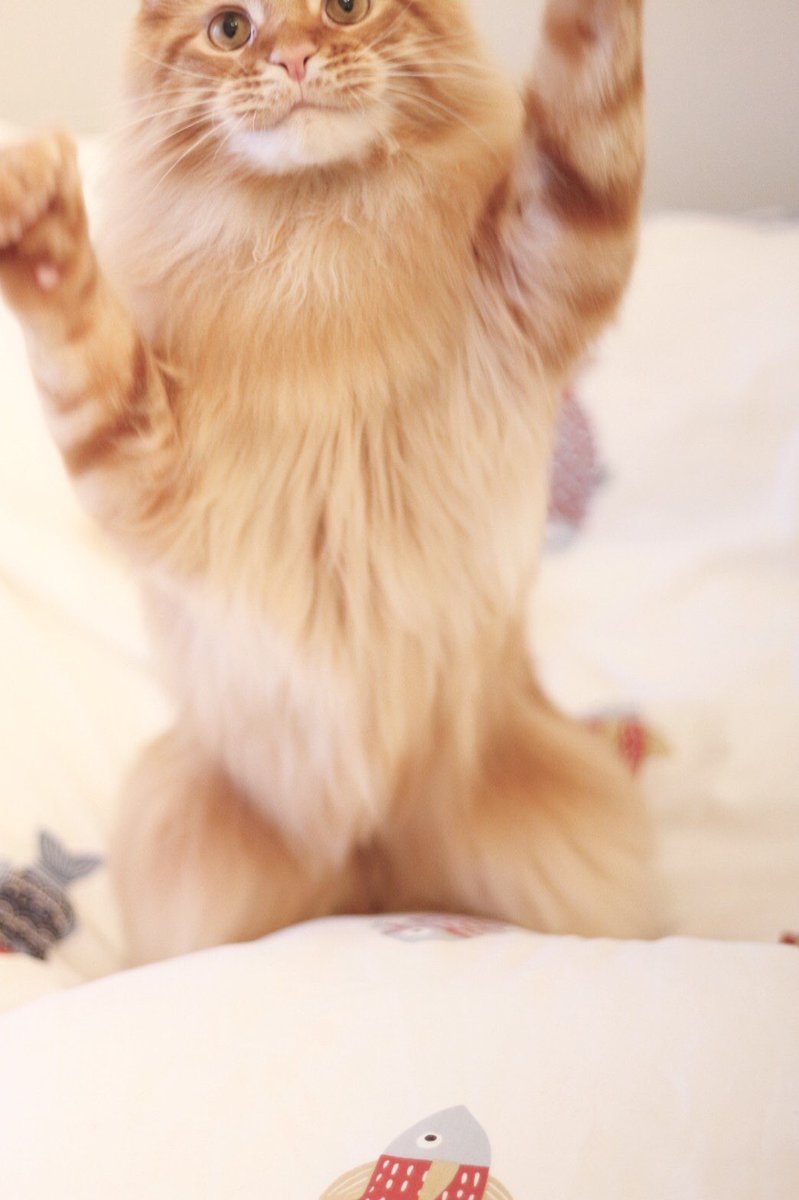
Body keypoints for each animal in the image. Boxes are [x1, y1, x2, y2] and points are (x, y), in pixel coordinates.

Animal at [0, 0, 653, 964]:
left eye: (345, 9)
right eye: (230, 31)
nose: (296, 58)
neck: (315, 256)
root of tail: (374, 877)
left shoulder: (552, 252)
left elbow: (590, 89)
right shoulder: (140, 463)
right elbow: (75, 331)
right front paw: (38, 219)